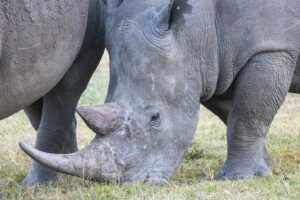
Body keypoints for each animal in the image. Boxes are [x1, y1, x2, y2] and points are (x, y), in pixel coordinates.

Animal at [19, 0, 300, 184]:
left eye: (155, 117)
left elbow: (246, 115)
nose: (132, 183)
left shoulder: (272, 48)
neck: (198, 27)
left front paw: (238, 178)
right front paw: (265, 166)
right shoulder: (214, 63)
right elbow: (231, 113)